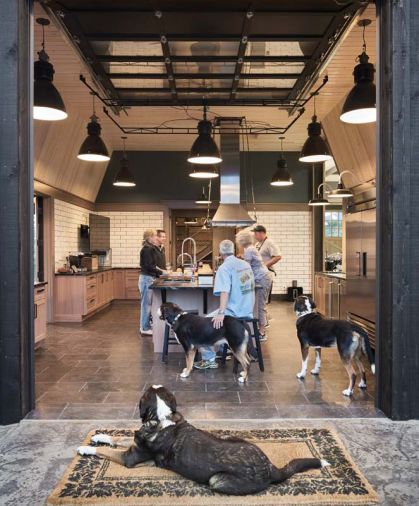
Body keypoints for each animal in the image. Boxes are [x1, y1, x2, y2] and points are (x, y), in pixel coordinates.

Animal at [78, 386, 328, 496]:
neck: (161, 417)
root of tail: (271, 468)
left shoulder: (129, 458)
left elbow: (106, 451)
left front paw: (85, 447)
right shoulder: (135, 445)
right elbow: (116, 437)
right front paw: (98, 435)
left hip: (216, 480)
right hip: (231, 438)